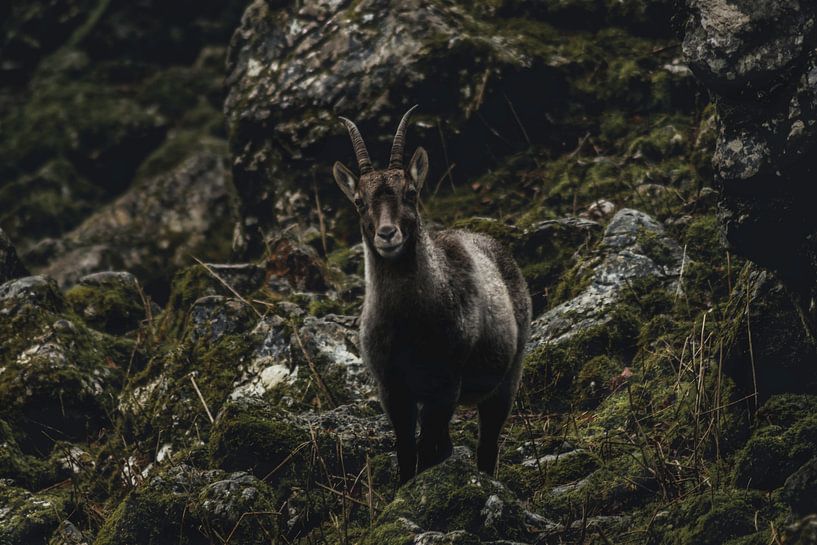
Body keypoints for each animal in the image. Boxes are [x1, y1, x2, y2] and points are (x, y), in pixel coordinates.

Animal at [332, 106, 531, 483]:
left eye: (410, 192)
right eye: (359, 201)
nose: (387, 234)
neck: (408, 321)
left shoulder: (445, 384)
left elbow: (425, 452)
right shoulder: (393, 389)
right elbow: (407, 451)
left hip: (507, 377)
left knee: (487, 444)